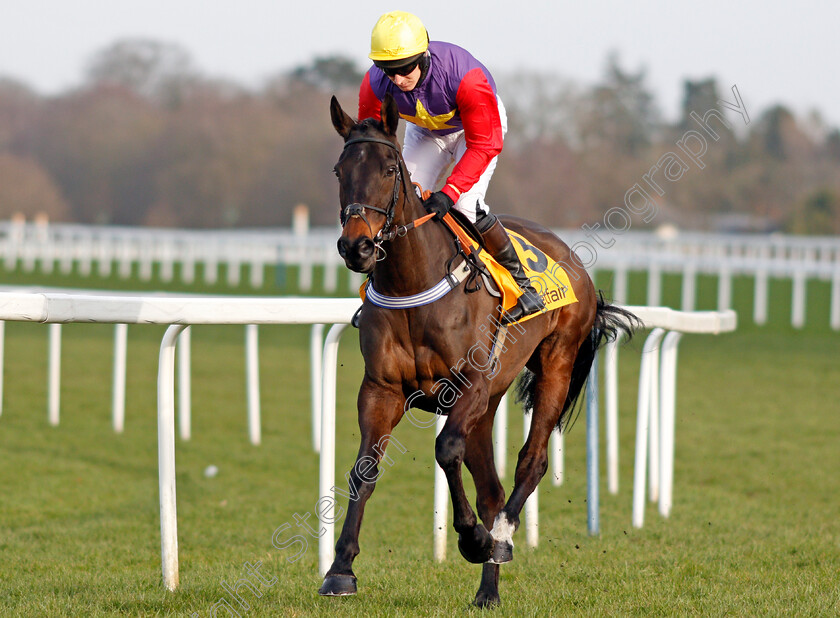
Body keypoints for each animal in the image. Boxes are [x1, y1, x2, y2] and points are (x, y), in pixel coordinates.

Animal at [322, 94, 636, 604]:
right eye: (339, 170)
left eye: (389, 169)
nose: (357, 247)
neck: (414, 282)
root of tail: (573, 260)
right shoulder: (382, 388)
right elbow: (364, 470)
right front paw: (340, 569)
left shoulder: (469, 382)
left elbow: (446, 449)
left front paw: (472, 539)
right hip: (488, 404)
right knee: (490, 488)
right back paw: (488, 590)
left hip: (554, 365)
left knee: (530, 463)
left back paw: (501, 539)